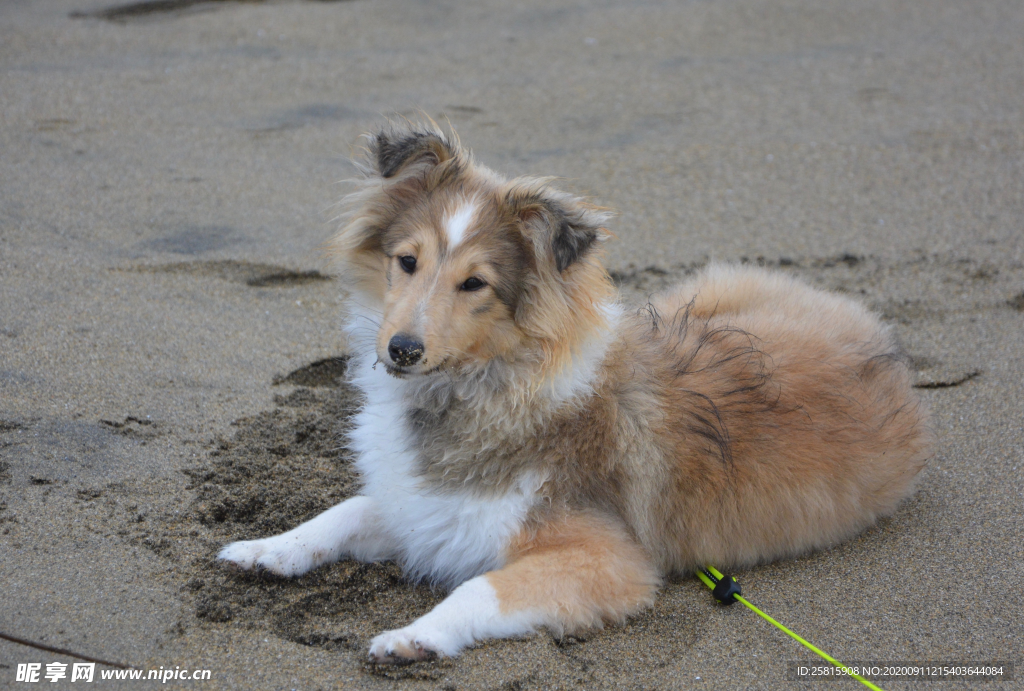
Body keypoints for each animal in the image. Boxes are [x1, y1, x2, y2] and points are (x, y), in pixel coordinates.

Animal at [220, 124, 933, 663]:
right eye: (406, 261)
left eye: (475, 283)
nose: (401, 350)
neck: (485, 386)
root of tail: (871, 326)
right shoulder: (423, 509)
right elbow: (345, 511)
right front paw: (264, 550)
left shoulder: (609, 559)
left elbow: (479, 590)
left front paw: (410, 637)